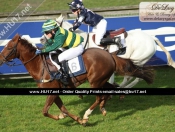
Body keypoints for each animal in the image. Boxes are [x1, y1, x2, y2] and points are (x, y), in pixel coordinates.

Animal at [0, 33, 154, 125]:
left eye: (8, 47)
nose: (1, 58)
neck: (40, 66)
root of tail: (110, 55)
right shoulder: (53, 92)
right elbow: (63, 109)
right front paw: (70, 118)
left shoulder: (53, 91)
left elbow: (45, 111)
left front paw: (78, 119)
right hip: (101, 80)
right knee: (110, 90)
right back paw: (104, 107)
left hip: (95, 81)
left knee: (99, 96)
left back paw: (87, 114)